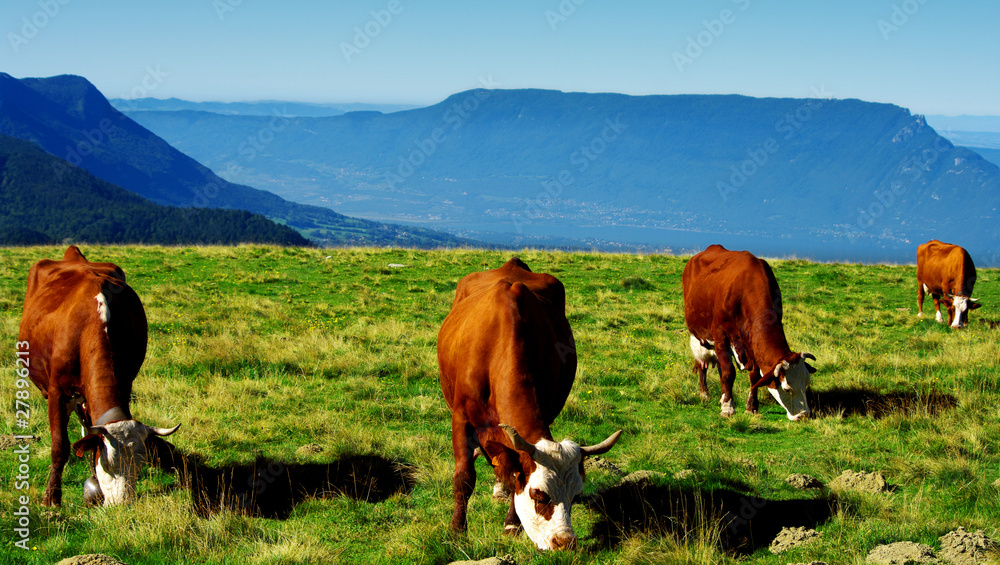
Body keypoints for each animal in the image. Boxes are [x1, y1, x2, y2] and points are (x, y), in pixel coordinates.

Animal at [18, 245, 180, 507]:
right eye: (109, 465)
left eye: (140, 465)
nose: (123, 505)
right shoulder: (57, 392)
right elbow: (60, 446)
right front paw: (51, 498)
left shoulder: (126, 383)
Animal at [438, 258, 621, 551]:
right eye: (539, 495)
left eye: (576, 495)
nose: (565, 542)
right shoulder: (461, 418)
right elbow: (464, 477)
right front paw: (457, 529)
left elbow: (515, 472)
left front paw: (511, 525)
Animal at [682, 245, 816, 421]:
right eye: (787, 388)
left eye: (807, 382)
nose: (804, 415)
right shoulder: (721, 337)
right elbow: (728, 373)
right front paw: (728, 409)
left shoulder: (752, 342)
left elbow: (754, 377)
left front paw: (751, 407)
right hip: (698, 336)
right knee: (701, 364)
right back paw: (705, 394)